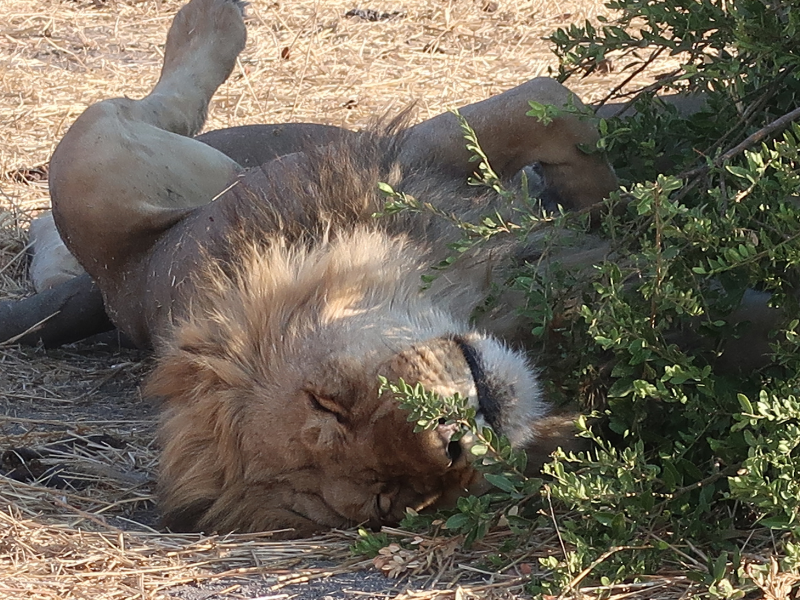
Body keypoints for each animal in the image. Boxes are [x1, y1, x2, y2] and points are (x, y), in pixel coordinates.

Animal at [47, 0, 618, 535]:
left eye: (326, 402)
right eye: (393, 498)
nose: (451, 436)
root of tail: (119, 282)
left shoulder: (408, 157)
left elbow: (554, 108)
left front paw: (612, 202)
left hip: (92, 161)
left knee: (162, 102)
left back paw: (209, 18)